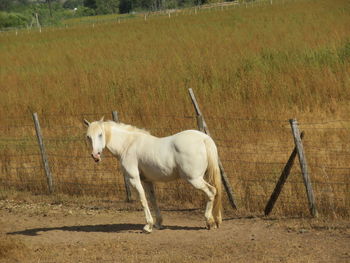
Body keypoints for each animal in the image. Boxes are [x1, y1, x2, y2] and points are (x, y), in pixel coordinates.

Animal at [83, 118, 223, 234]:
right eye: (88, 137)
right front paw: (158, 223)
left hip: (194, 179)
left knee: (211, 192)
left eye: (100, 134)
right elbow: (152, 199)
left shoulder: (133, 179)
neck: (128, 144)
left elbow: (142, 199)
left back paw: (209, 222)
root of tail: (203, 139)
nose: (95, 156)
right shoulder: (147, 181)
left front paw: (148, 226)